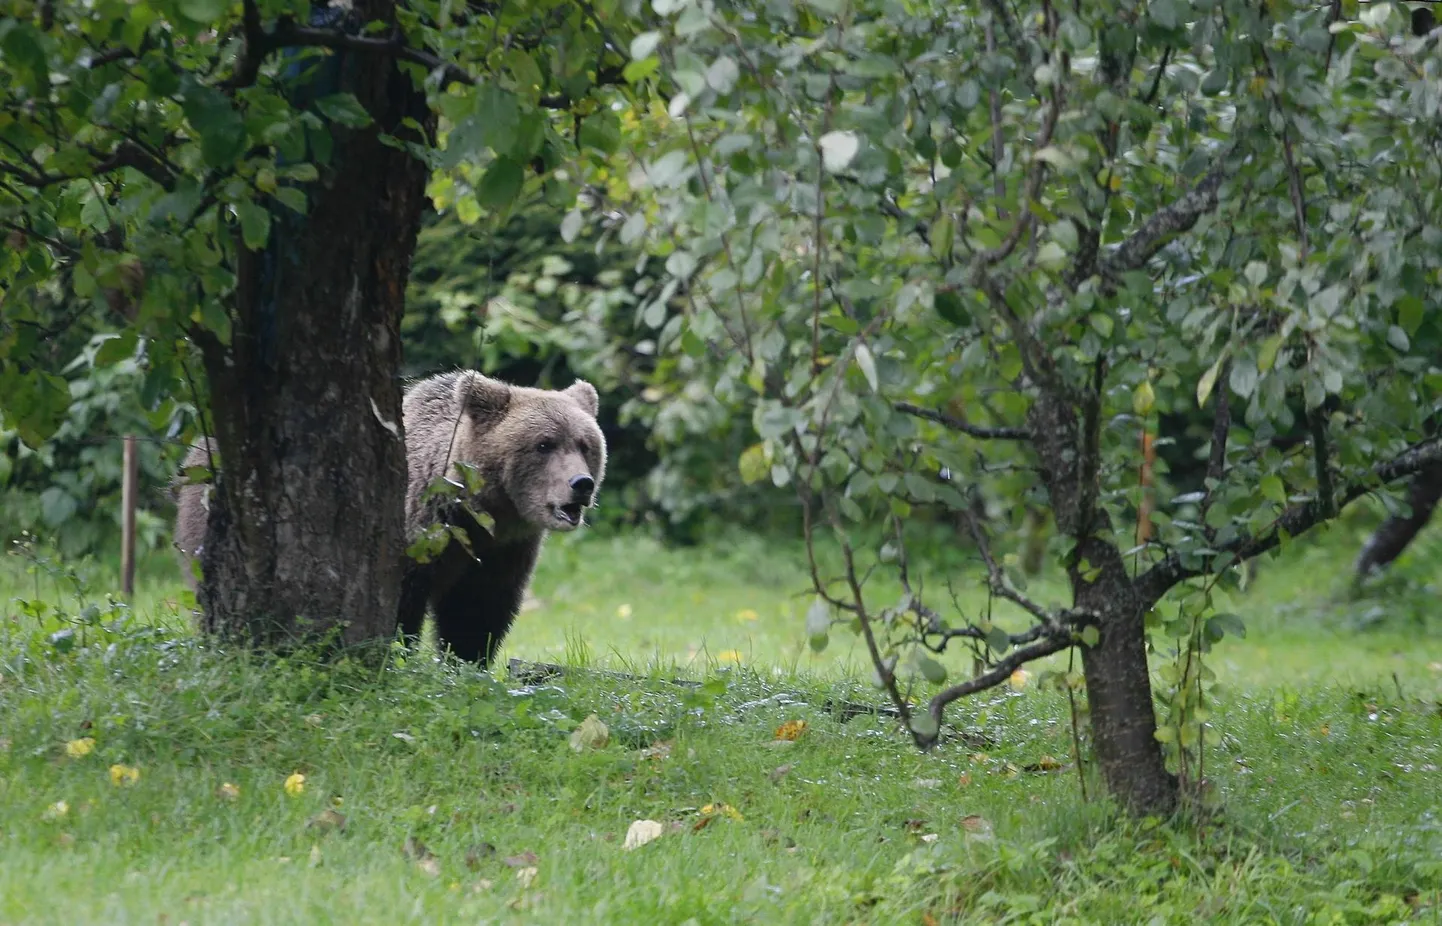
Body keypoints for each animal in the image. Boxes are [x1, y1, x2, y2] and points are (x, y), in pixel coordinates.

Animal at [171, 367, 605, 663]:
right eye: (544, 444)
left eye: (585, 444)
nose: (581, 484)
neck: (479, 512)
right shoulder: (417, 533)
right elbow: (400, 604)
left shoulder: (502, 553)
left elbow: (476, 612)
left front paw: (467, 661)